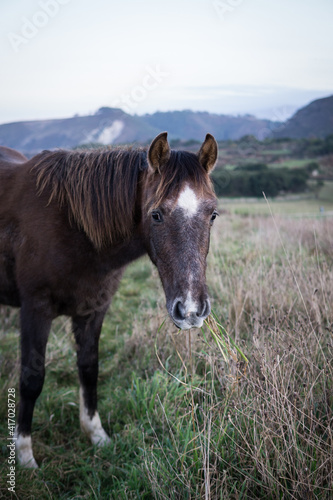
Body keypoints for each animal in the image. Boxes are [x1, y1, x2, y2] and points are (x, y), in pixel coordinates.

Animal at [0, 131, 218, 466]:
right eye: (156, 214)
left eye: (213, 215)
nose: (192, 309)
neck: (72, 227)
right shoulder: (35, 310)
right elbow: (32, 378)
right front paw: (24, 456)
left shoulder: (94, 310)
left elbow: (89, 369)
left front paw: (96, 435)